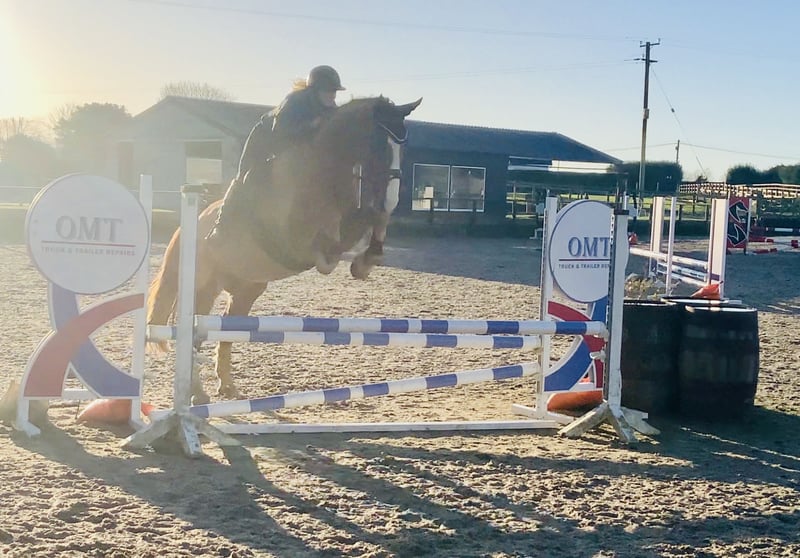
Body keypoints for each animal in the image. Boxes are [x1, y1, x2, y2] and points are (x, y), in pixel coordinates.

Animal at [147, 96, 422, 404]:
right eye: (377, 145)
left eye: (403, 147)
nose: (393, 199)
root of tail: (185, 228)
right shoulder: (297, 236)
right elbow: (334, 240)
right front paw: (341, 257)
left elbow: (372, 219)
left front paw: (366, 260)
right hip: (202, 284)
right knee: (195, 330)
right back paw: (197, 393)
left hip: (246, 288)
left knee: (224, 327)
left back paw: (225, 386)